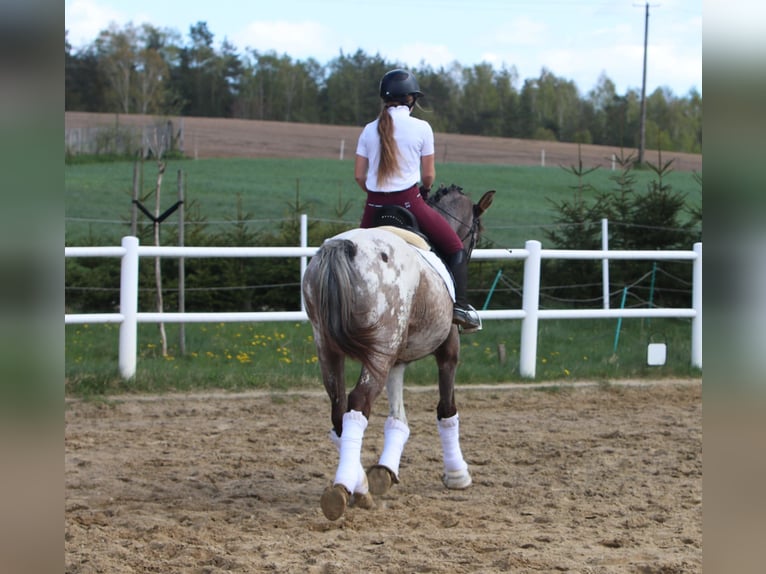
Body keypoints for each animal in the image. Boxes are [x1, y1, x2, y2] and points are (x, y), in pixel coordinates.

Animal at [304, 183, 496, 520]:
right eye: (476, 232)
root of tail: (343, 247)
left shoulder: (397, 358)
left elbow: (398, 418)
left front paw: (384, 471)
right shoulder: (448, 348)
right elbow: (447, 409)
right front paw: (457, 474)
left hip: (330, 349)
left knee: (338, 409)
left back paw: (358, 485)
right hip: (378, 351)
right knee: (358, 402)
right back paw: (346, 491)